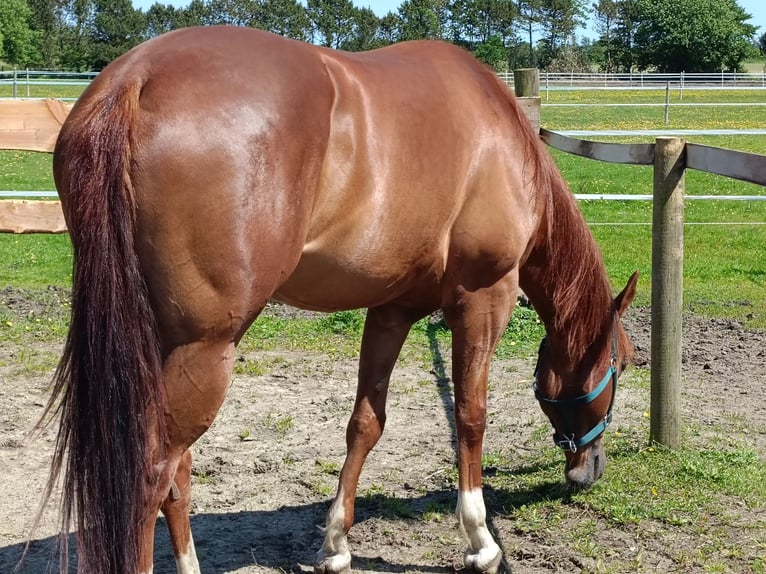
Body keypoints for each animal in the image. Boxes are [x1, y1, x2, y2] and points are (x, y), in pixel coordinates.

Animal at [40, 25, 638, 574]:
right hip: (203, 348)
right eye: (626, 364)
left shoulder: (393, 308)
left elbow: (365, 422)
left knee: (177, 471)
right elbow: (471, 414)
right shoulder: (483, 298)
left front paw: (336, 544)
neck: (502, 138)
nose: (591, 469)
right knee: (153, 471)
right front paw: (481, 541)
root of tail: (134, 78)